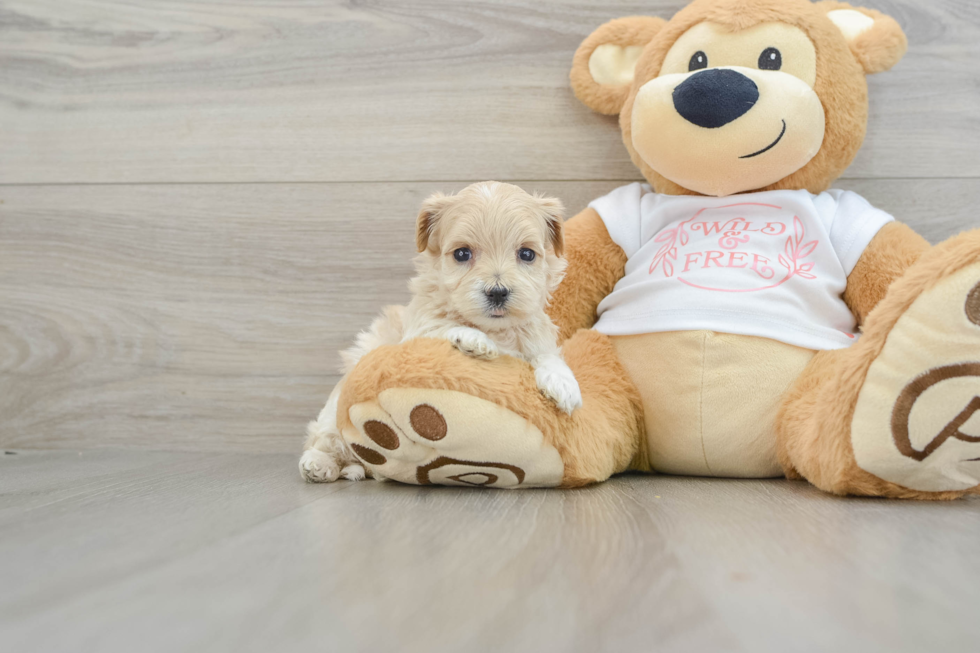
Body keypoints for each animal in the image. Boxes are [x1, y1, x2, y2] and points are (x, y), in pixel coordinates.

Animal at [298, 181, 580, 482]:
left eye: (527, 254)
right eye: (462, 254)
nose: (497, 292)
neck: (494, 329)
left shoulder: (536, 332)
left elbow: (547, 354)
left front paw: (564, 384)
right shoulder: (416, 333)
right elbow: (443, 327)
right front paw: (474, 339)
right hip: (334, 410)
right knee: (325, 438)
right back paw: (319, 464)